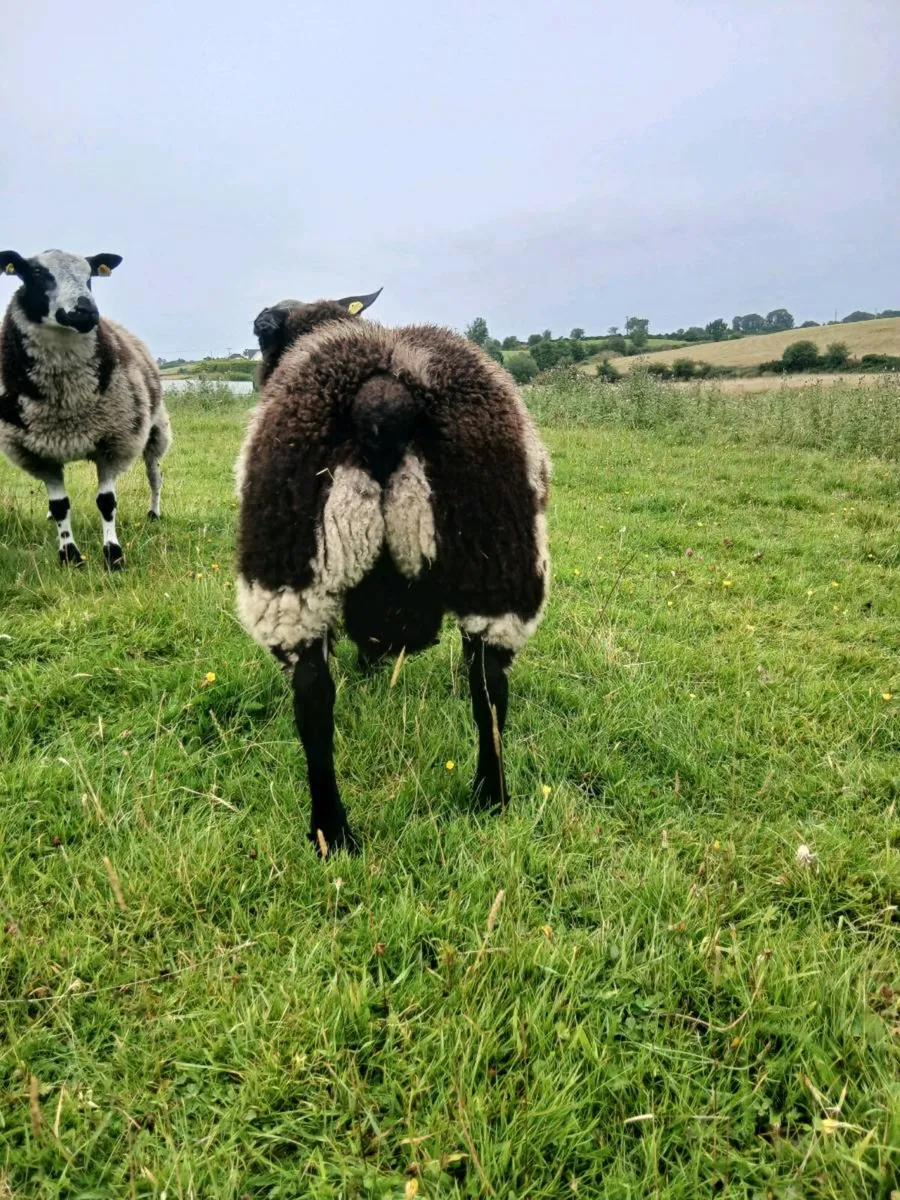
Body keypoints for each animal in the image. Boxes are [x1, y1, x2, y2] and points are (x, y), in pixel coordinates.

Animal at [0, 249, 171, 570]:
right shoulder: (39, 454)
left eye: (90, 275)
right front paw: (69, 556)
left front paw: (113, 555)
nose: (86, 311)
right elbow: (59, 505)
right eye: (36, 273)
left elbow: (106, 502)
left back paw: (154, 513)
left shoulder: (113, 442)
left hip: (155, 432)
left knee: (154, 477)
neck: (67, 402)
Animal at [235, 289, 551, 854]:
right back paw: (490, 799)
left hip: (284, 565)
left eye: (261, 333)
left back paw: (330, 833)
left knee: (313, 699)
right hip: (497, 558)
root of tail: (385, 397)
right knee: (490, 687)